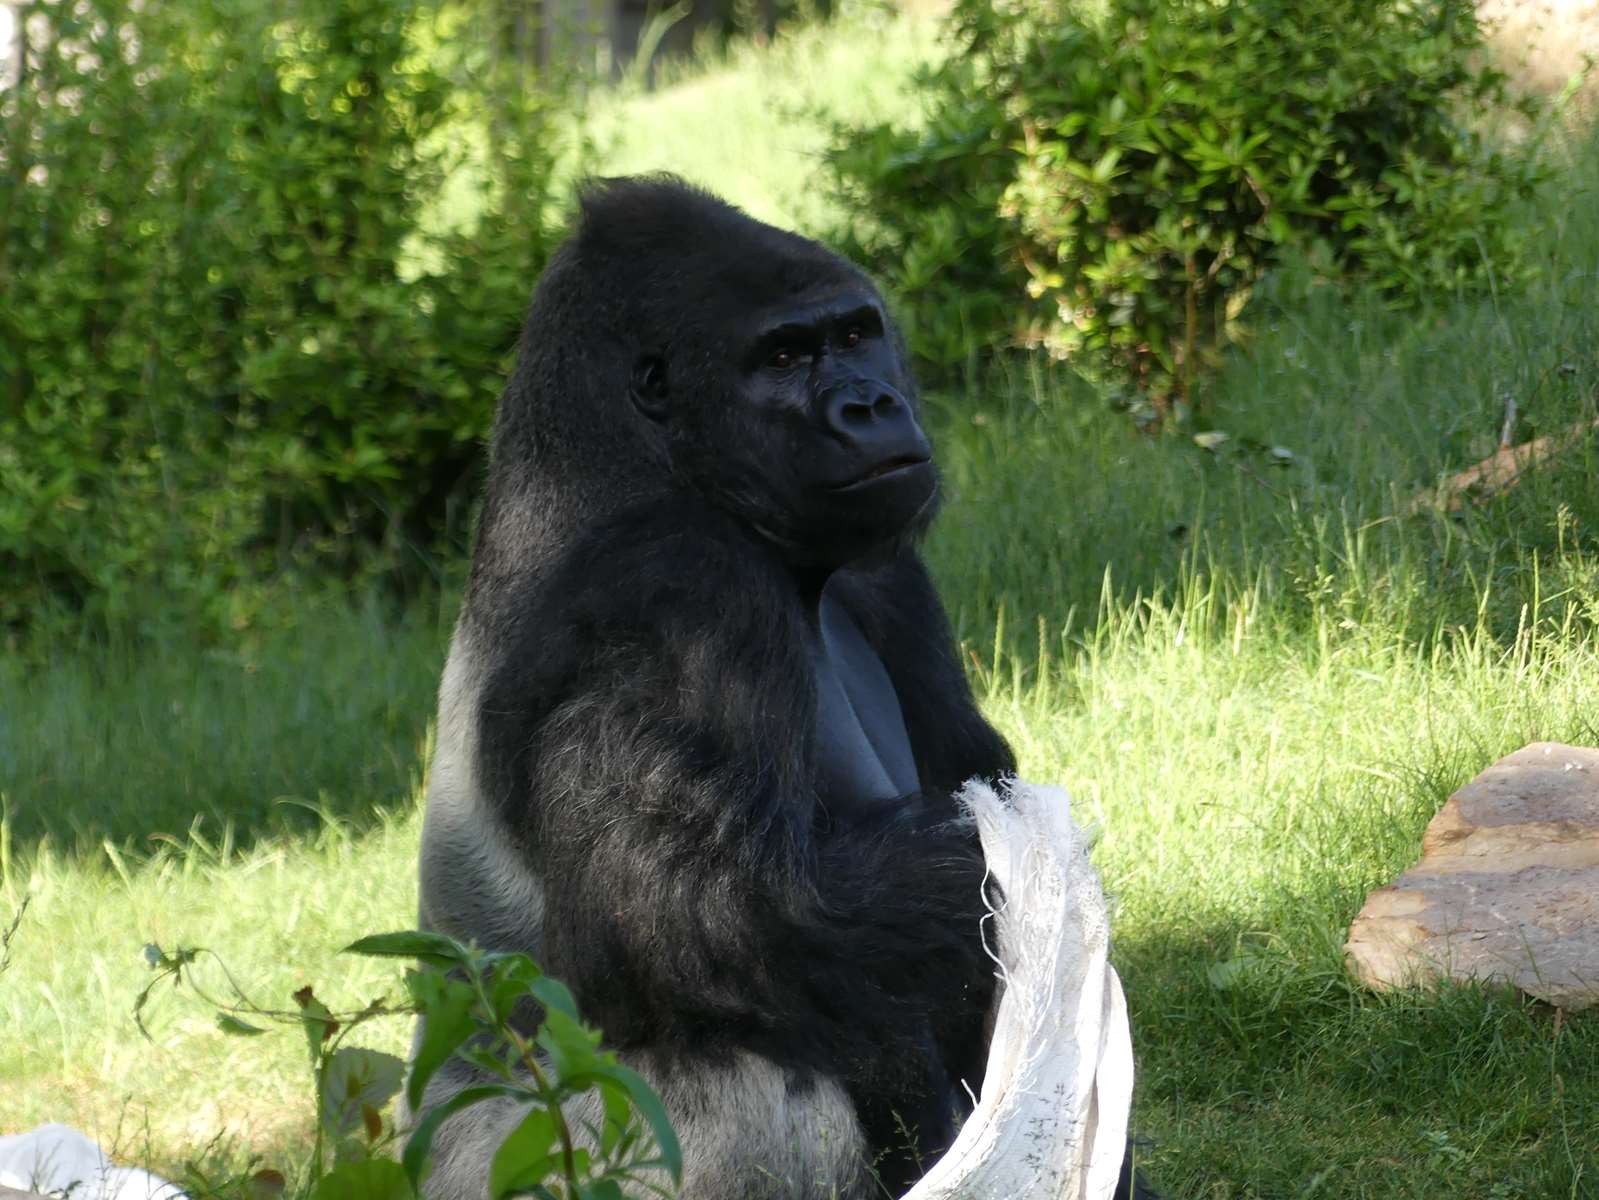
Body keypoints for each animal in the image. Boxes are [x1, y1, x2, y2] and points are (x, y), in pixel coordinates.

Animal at [412, 178, 1151, 1200]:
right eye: (784, 356)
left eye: (855, 333)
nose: (871, 404)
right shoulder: (683, 588)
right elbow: (730, 920)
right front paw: (979, 863)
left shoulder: (885, 571)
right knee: (770, 1083)